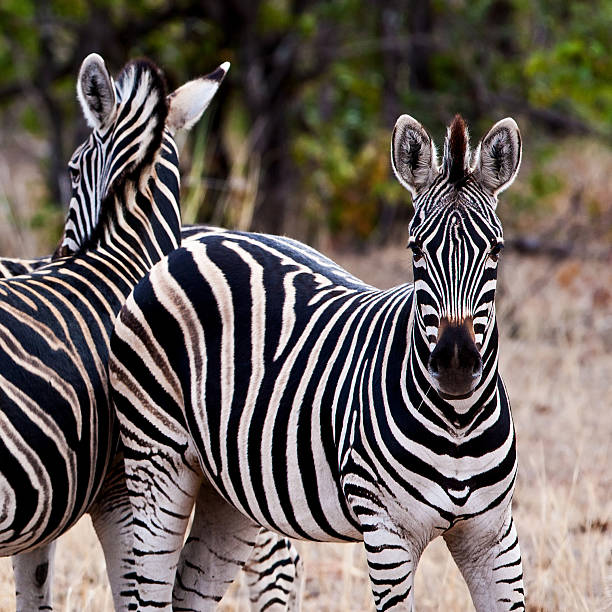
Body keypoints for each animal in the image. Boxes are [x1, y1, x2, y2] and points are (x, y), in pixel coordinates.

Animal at [110, 112, 524, 608]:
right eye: (415, 250)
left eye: (496, 250)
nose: (457, 365)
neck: (458, 422)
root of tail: (190, 243)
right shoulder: (387, 535)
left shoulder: (493, 536)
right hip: (156, 464)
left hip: (229, 493)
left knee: (188, 590)